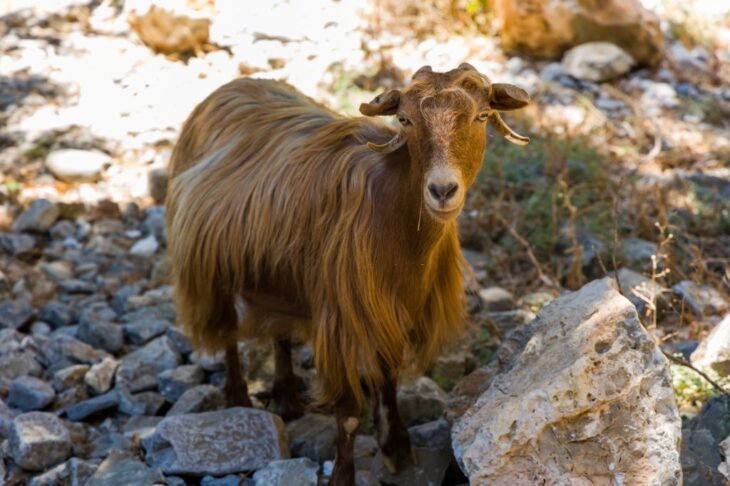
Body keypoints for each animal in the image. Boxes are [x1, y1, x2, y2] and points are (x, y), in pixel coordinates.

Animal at [165, 62, 528, 484]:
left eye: (482, 115)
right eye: (405, 120)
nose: (442, 190)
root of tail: (227, 89)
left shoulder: (392, 312)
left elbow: (388, 379)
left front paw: (396, 447)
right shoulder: (342, 322)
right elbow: (350, 415)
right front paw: (344, 475)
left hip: (279, 273)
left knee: (279, 331)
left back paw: (287, 397)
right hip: (210, 267)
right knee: (227, 334)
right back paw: (239, 398)